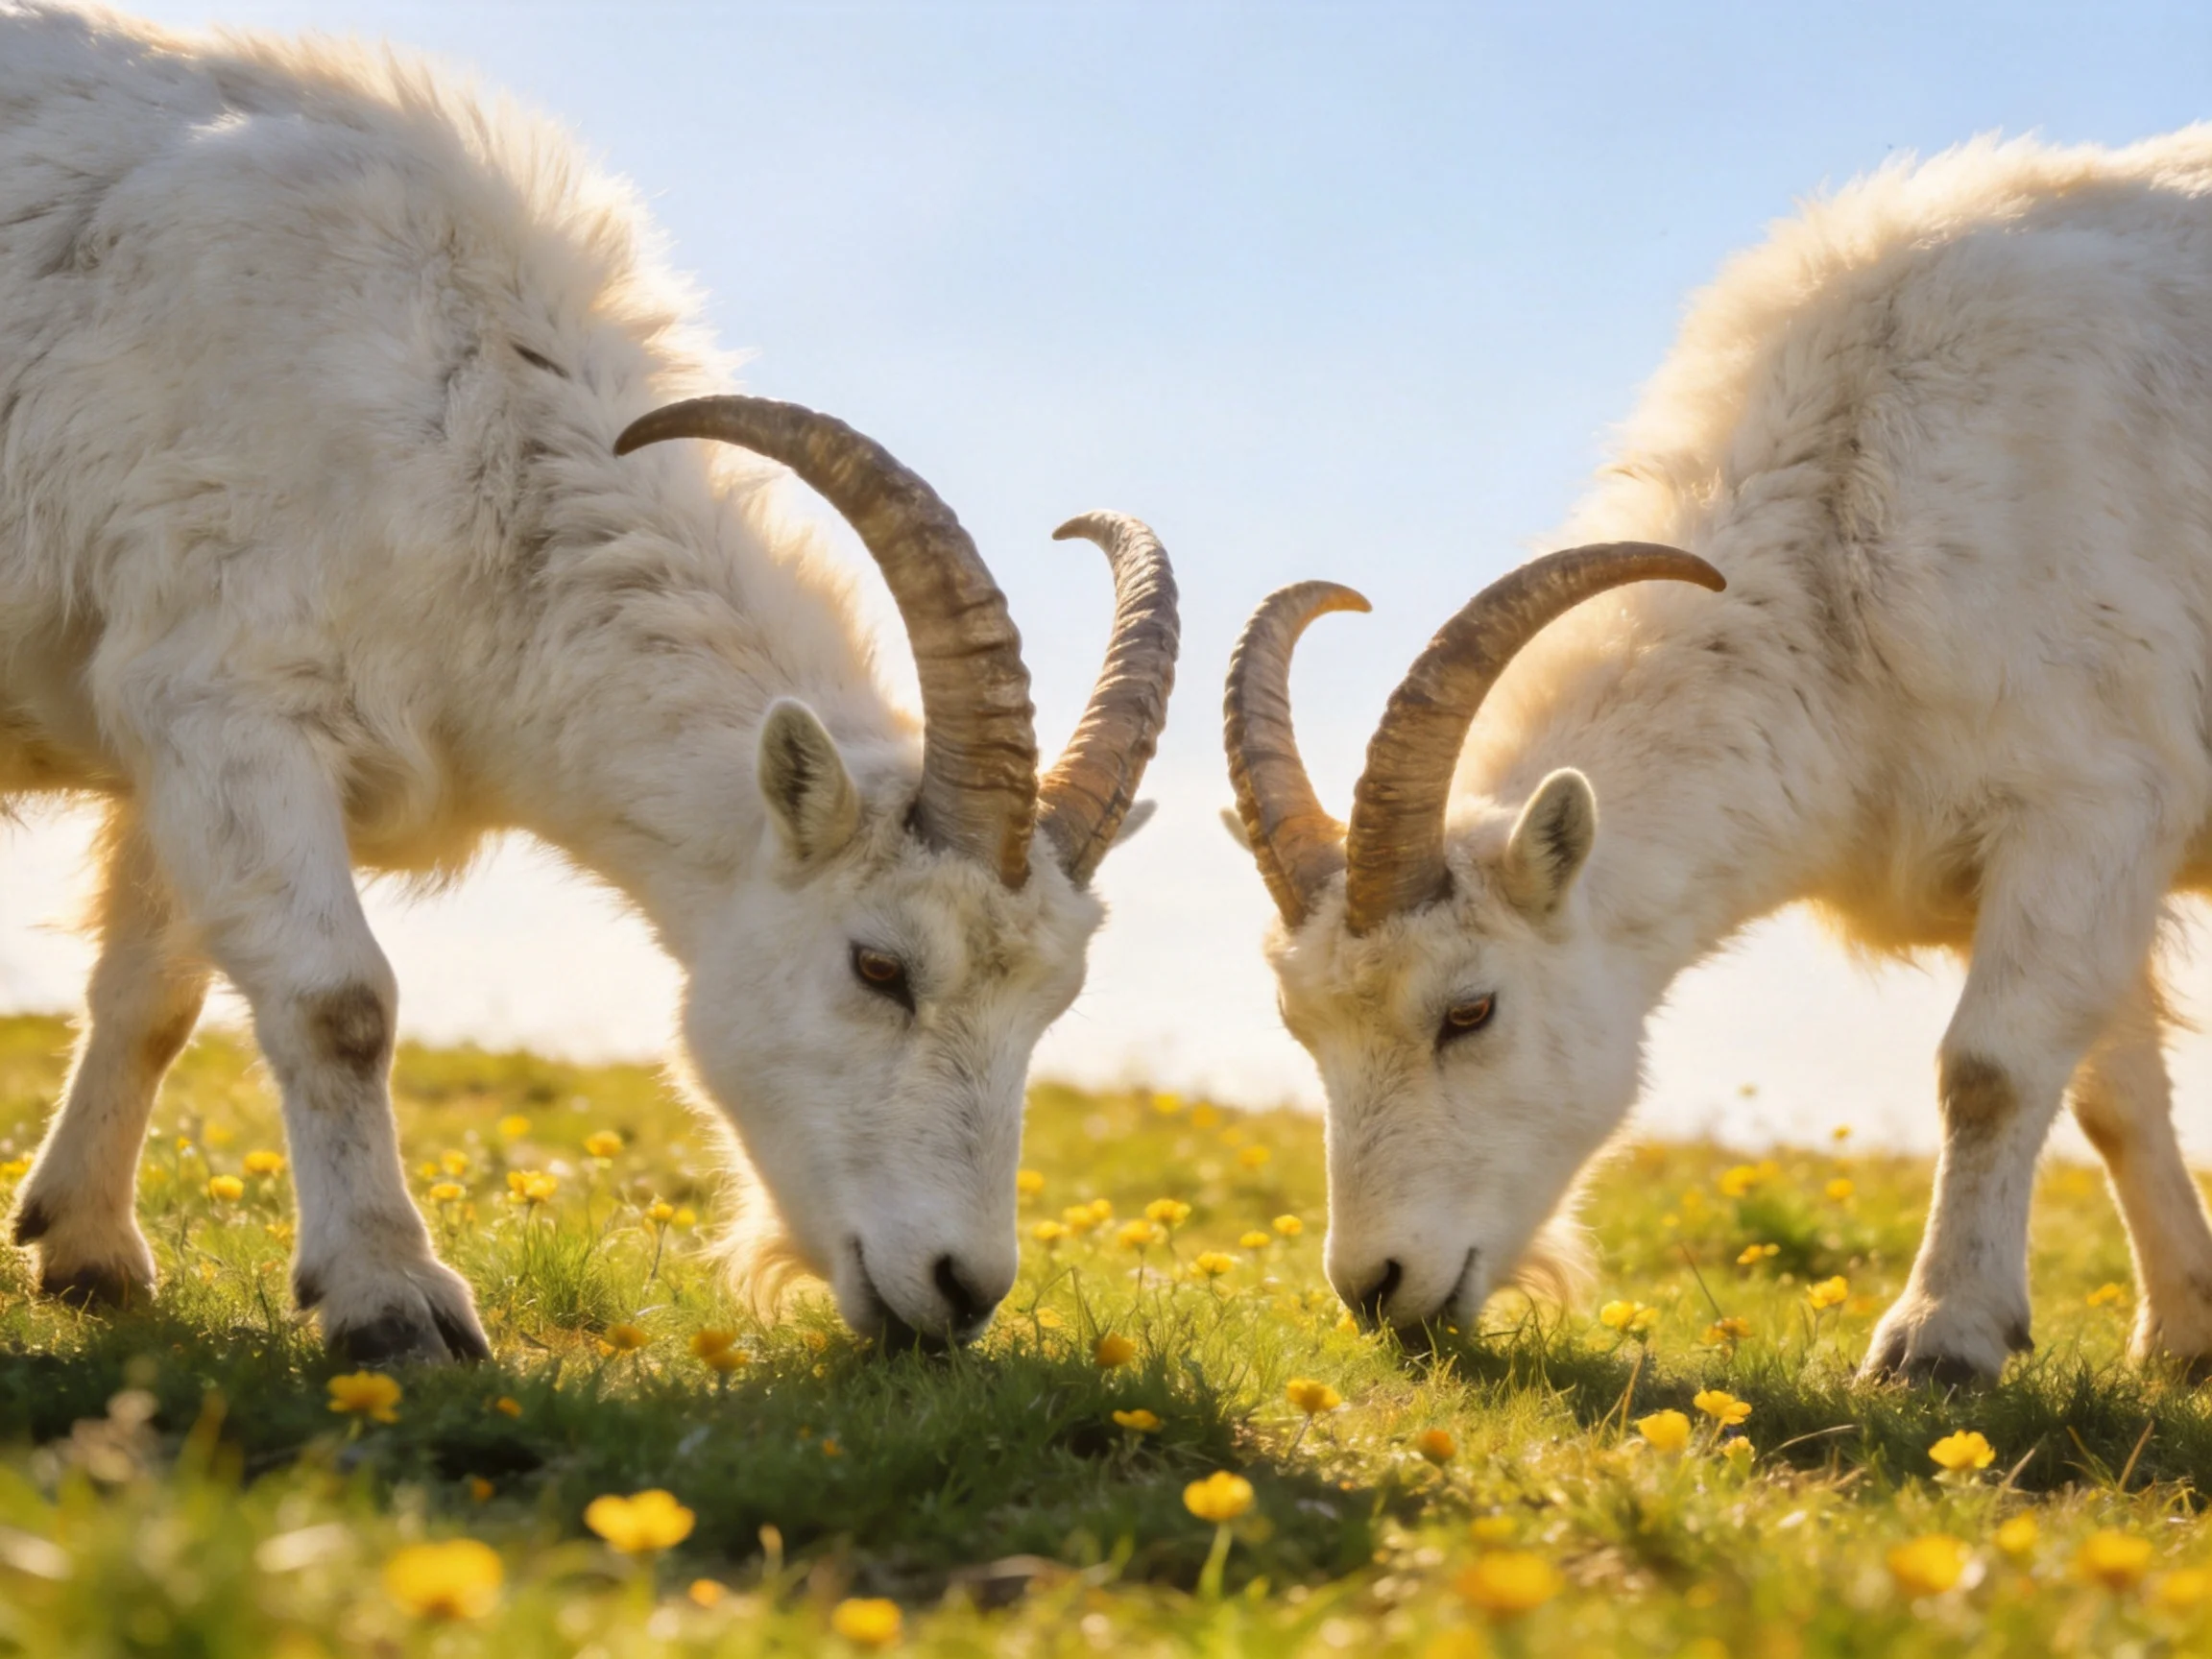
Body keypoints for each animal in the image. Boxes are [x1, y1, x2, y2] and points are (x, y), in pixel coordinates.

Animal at [0, 5, 1178, 1361]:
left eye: (1055, 999)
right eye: (877, 966)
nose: (960, 1289)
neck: (463, 428)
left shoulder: (169, 733)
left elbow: (152, 994)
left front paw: (88, 1253)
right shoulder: (229, 700)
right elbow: (340, 1003)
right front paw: (395, 1301)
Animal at [1226, 128, 2212, 1384]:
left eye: (1471, 1011)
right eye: (1301, 1026)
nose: (1377, 1287)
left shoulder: (2089, 807)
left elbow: (1989, 1070)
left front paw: (1939, 1337)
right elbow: (2113, 1095)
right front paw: (2184, 1332)